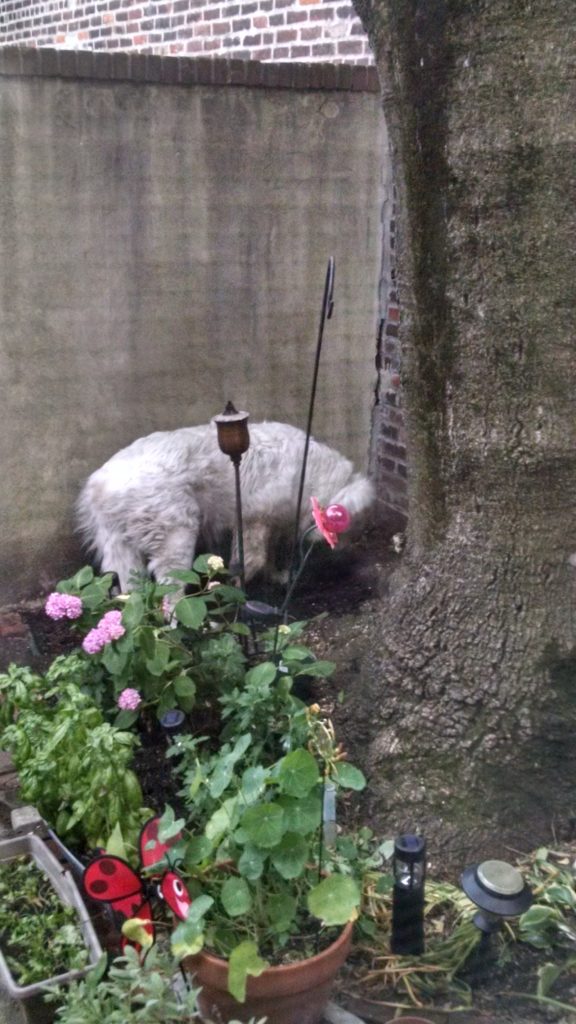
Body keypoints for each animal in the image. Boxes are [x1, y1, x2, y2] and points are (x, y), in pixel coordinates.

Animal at [77, 417, 373, 593]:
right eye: (351, 526)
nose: (345, 552)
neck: (309, 473)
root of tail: (101, 483)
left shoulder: (269, 522)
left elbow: (269, 554)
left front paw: (276, 575)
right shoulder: (254, 521)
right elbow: (252, 559)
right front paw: (237, 585)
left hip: (119, 547)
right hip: (176, 537)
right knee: (169, 592)